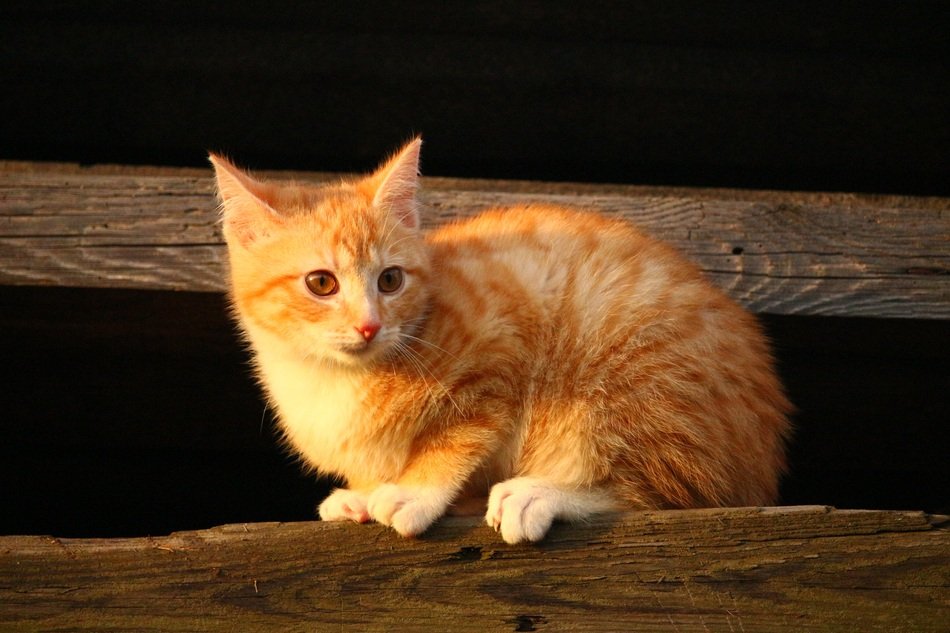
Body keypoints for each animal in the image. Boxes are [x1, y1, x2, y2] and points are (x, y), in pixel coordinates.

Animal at [212, 138, 792, 544]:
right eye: (321, 283)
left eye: (390, 280)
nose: (369, 326)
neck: (330, 378)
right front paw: (363, 493)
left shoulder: (501, 345)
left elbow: (461, 430)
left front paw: (413, 489)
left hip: (634, 377)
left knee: (668, 493)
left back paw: (537, 494)